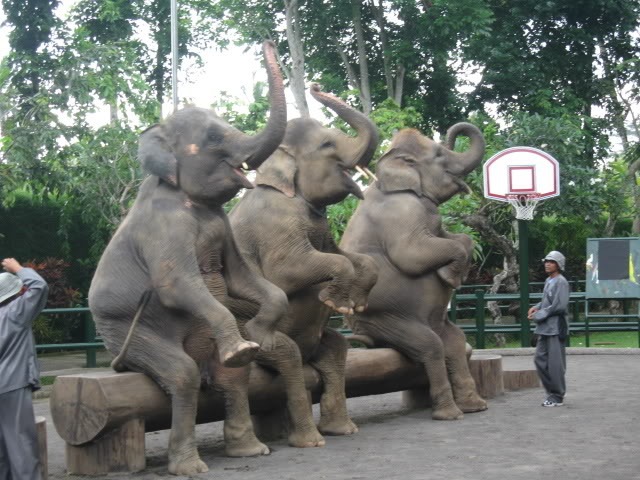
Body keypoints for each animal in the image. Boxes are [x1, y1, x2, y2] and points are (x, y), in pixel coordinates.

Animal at [88, 41, 289, 475]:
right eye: (213, 136)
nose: (268, 42)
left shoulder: (223, 223)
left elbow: (241, 279)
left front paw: (258, 337)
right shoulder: (164, 226)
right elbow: (174, 284)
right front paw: (246, 345)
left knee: (231, 378)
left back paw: (251, 449)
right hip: (124, 334)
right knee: (181, 374)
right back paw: (191, 466)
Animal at [228, 84, 379, 448]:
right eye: (327, 145)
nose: (315, 86)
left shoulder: (324, 231)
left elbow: (352, 256)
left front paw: (355, 303)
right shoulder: (274, 224)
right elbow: (287, 272)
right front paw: (337, 302)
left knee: (336, 350)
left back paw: (342, 429)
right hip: (249, 334)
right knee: (290, 356)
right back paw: (310, 440)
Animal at [340, 123, 488, 420]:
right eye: (440, 155)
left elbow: (460, 239)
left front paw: (450, 275)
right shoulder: (401, 211)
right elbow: (412, 253)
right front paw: (450, 278)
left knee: (455, 341)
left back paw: (475, 407)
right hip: (388, 320)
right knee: (431, 346)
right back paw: (450, 414)